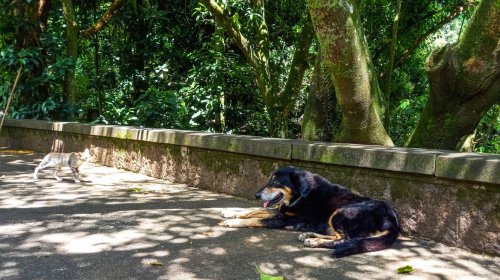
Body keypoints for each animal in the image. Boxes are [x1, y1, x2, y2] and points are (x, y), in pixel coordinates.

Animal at [221, 166, 400, 258]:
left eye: (276, 181)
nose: (256, 195)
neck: (301, 195)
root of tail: (392, 221)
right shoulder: (281, 211)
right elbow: (253, 210)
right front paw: (230, 212)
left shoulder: (284, 219)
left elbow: (256, 219)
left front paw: (233, 221)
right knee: (337, 236)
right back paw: (309, 235)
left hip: (341, 212)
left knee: (342, 240)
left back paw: (314, 241)